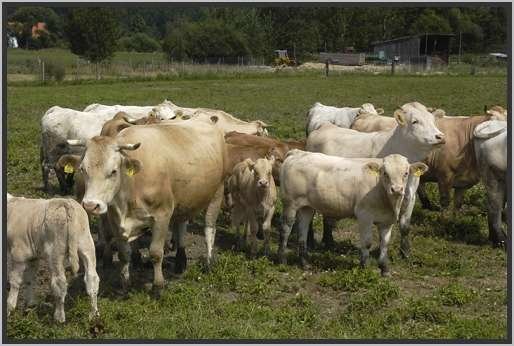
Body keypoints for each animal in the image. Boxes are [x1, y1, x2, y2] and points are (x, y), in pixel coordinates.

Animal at [7, 193, 99, 324]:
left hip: (55, 251)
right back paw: (93, 314)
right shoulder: (33, 258)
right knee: (92, 279)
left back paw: (59, 318)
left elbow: (15, 281)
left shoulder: (18, 253)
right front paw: (30, 305)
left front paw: (9, 309)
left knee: (59, 283)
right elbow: (30, 279)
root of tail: (65, 203)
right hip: (86, 243)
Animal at [67, 120, 226, 288]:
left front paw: (158, 286)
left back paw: (209, 262)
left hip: (217, 192)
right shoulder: (115, 219)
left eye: (113, 171)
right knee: (181, 224)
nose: (90, 205)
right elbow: (124, 254)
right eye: (83, 169)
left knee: (209, 227)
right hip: (184, 199)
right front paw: (125, 283)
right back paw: (180, 261)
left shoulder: (162, 216)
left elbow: (156, 253)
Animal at [278, 151, 426, 276]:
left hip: (306, 207)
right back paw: (282, 260)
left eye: (406, 173)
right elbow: (367, 242)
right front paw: (365, 267)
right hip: (290, 204)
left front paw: (385, 269)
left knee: (302, 230)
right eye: (385, 173)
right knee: (285, 229)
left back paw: (305, 263)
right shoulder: (364, 215)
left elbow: (385, 244)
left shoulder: (386, 221)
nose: (396, 189)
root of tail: (298, 153)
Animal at [304, 101, 444, 255]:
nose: (440, 136)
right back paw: (310, 242)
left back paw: (328, 241)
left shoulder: (410, 196)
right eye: (415, 121)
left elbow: (405, 227)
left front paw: (405, 252)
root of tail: (324, 126)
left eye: (433, 120)